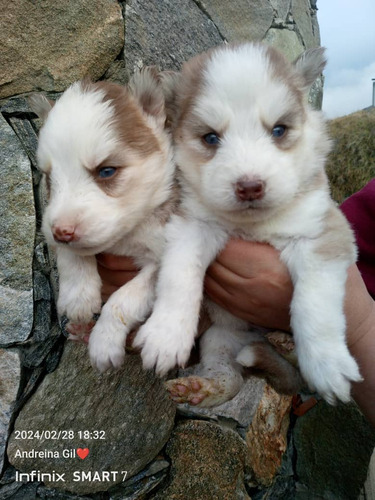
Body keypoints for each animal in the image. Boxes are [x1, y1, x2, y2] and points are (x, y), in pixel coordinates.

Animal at [30, 68, 177, 372]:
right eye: (49, 178)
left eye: (107, 171)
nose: (62, 231)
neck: (128, 235)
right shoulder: (50, 223)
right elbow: (70, 254)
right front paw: (78, 295)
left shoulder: (160, 258)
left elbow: (123, 300)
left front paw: (104, 341)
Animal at [134, 43, 362, 406]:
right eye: (211, 138)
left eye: (279, 130)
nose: (250, 186)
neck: (253, 224)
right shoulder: (192, 225)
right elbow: (178, 275)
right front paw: (166, 334)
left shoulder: (321, 232)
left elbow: (314, 302)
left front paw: (326, 363)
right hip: (220, 340)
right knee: (230, 378)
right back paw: (200, 387)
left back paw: (286, 343)